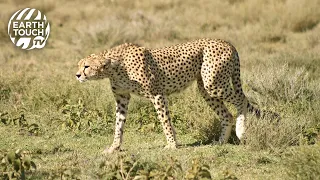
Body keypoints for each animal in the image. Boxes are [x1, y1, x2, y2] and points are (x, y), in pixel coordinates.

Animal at [75, 38, 270, 153]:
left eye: (86, 66)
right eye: (79, 65)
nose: (77, 75)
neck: (114, 66)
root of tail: (226, 41)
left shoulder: (157, 94)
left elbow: (165, 121)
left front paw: (171, 144)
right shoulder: (122, 98)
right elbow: (118, 124)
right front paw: (114, 147)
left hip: (214, 84)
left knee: (242, 100)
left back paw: (241, 130)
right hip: (205, 88)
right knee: (227, 114)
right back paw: (221, 142)